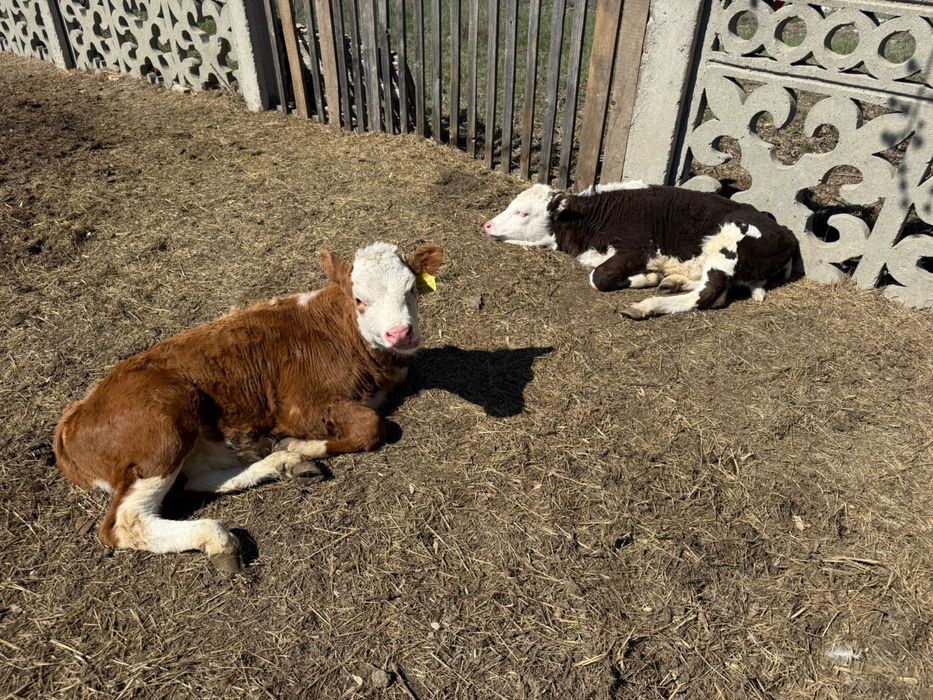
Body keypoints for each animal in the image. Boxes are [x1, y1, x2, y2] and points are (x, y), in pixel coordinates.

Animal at [53, 241, 444, 572]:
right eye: (360, 298)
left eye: (411, 289)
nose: (400, 333)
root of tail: (73, 419)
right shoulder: (297, 408)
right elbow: (372, 425)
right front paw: (302, 444)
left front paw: (294, 452)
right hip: (161, 429)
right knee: (125, 523)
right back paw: (217, 536)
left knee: (194, 481)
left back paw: (285, 463)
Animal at [482, 182, 799, 318]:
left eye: (523, 212)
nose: (487, 225)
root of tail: (784, 231)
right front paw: (654, 277)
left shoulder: (637, 248)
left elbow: (598, 277)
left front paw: (646, 278)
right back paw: (672, 282)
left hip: (728, 244)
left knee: (711, 294)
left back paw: (647, 305)